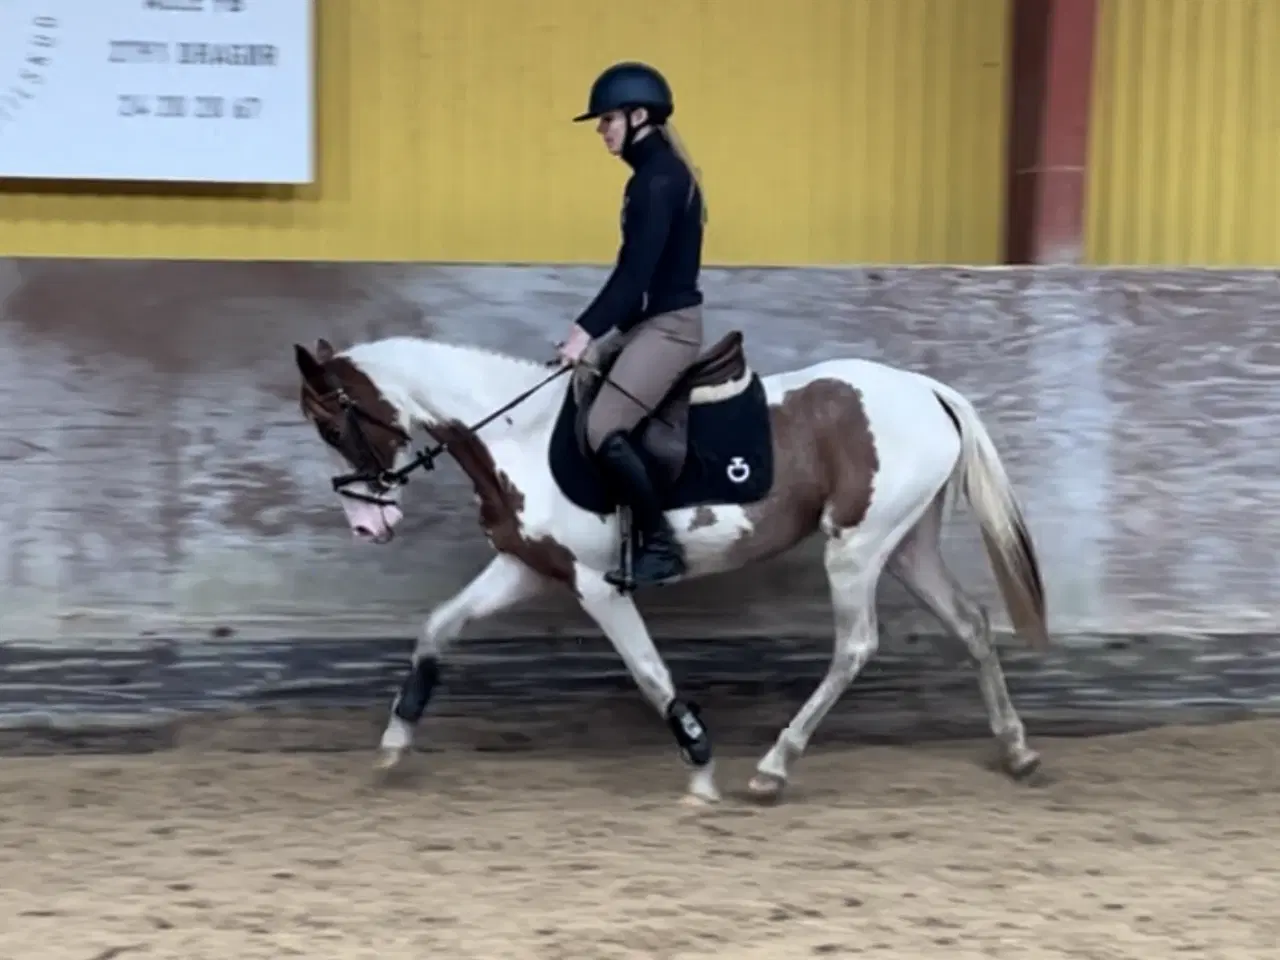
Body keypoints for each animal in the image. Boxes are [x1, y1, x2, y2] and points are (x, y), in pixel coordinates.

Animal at [293, 330, 1049, 803]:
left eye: (333, 426)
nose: (366, 525)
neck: (519, 435)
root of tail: (926, 390)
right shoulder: (526, 566)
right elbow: (438, 627)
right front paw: (395, 740)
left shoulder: (596, 586)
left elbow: (650, 673)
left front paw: (701, 770)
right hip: (907, 544)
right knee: (972, 624)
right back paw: (1016, 751)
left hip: (856, 549)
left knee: (856, 646)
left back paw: (773, 769)